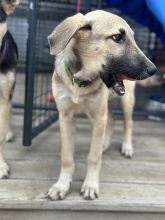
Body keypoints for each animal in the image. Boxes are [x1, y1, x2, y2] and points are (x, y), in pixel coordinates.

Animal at [46, 9, 157, 199]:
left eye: (133, 38)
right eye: (117, 37)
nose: (153, 69)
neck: (80, 82)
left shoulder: (98, 116)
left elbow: (94, 156)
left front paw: (90, 185)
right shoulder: (66, 116)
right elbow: (67, 156)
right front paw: (62, 185)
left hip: (126, 101)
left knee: (128, 123)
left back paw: (127, 147)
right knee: (112, 120)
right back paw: (105, 143)